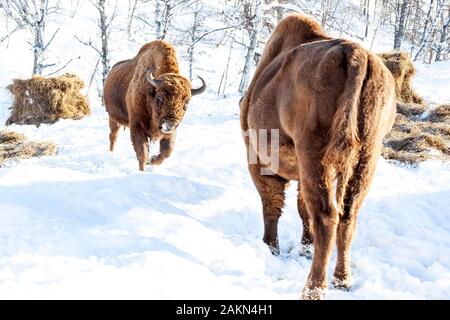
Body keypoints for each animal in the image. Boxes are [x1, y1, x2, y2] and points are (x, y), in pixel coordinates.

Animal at [103, 40, 206, 171]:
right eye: (160, 98)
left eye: (186, 103)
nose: (170, 123)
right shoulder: (137, 125)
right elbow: (142, 153)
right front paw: (143, 169)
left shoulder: (170, 133)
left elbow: (167, 151)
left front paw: (152, 160)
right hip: (113, 118)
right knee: (113, 136)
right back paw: (111, 153)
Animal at [241, 13, 396, 300]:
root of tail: (356, 54)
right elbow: (302, 209)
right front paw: (304, 248)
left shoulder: (258, 160)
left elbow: (272, 204)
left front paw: (270, 246)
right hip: (367, 154)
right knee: (348, 214)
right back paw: (342, 280)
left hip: (314, 150)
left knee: (326, 216)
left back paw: (313, 288)